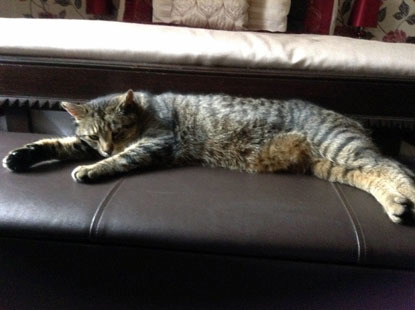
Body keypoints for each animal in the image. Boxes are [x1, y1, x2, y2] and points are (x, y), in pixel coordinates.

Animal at [3, 89, 415, 223]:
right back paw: (396, 204)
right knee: (374, 175)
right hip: (333, 167)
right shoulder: (82, 143)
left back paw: (407, 195)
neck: (146, 111)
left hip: (341, 148)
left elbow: (121, 159)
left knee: (393, 165)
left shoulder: (156, 142)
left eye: (117, 132)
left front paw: (92, 169)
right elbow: (59, 144)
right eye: (94, 134)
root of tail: (351, 120)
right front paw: (21, 155)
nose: (105, 147)